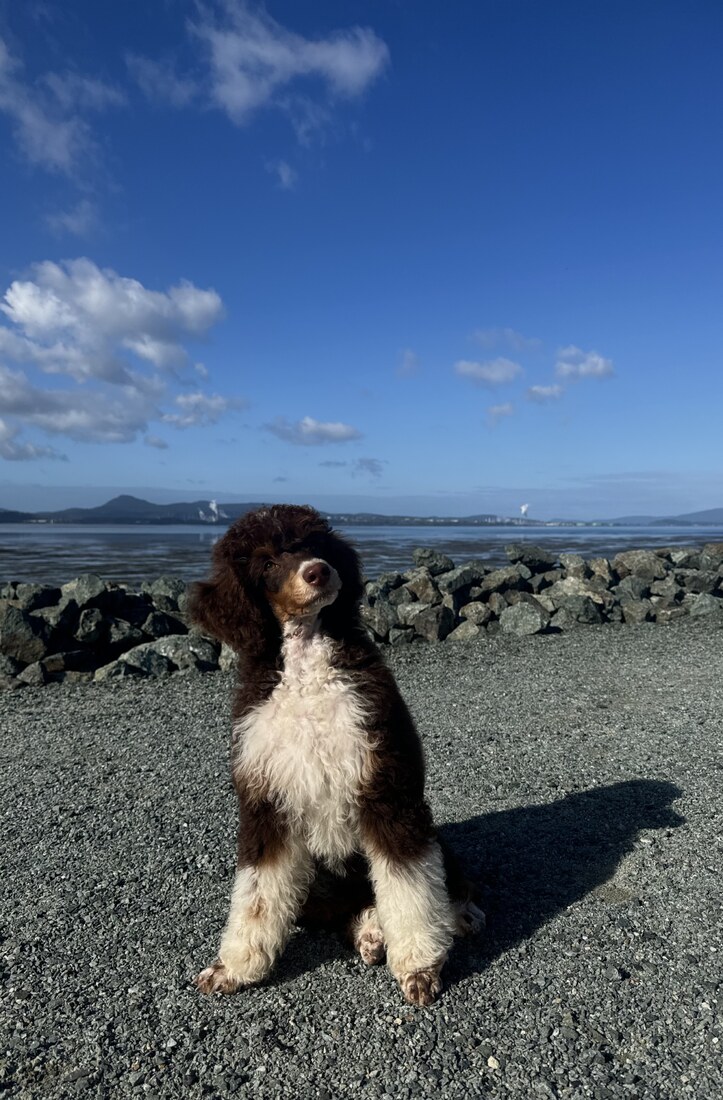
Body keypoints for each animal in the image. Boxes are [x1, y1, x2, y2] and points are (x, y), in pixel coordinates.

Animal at [190, 503, 482, 1005]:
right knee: (343, 910)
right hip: (314, 885)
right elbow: (256, 895)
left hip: (427, 834)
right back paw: (369, 931)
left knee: (437, 880)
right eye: (267, 562)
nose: (318, 571)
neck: (307, 673)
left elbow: (409, 884)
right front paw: (235, 967)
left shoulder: (388, 790)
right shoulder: (265, 805)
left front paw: (419, 965)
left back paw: (456, 915)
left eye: (315, 545)